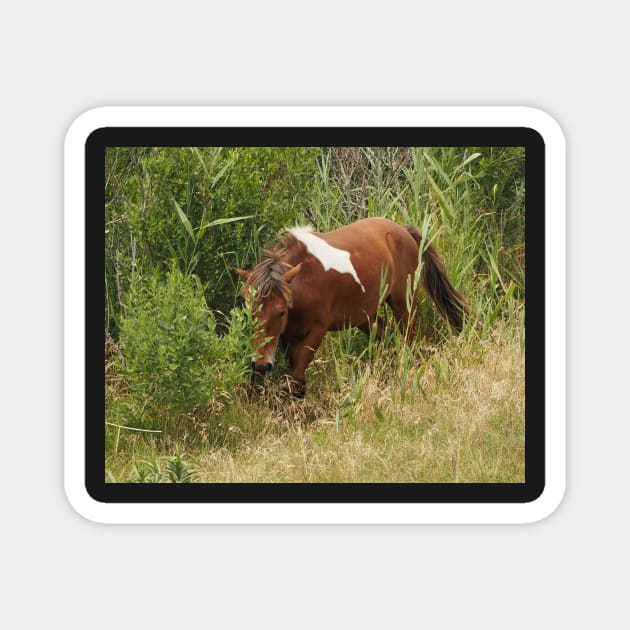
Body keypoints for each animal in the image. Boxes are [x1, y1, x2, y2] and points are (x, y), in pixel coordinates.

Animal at [235, 216, 466, 396]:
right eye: (249, 311)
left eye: (281, 312)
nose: (261, 365)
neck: (305, 281)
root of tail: (403, 230)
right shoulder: (287, 338)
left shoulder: (315, 333)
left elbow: (296, 380)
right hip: (365, 317)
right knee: (386, 337)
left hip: (404, 305)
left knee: (409, 339)